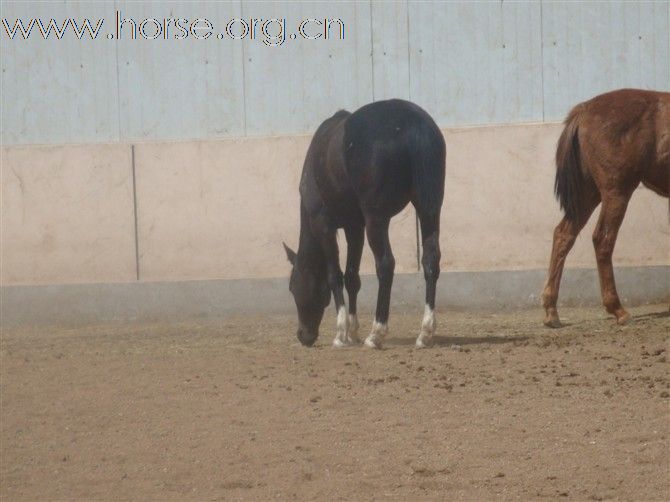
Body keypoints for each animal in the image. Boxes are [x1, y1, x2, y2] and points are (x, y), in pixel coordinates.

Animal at [284, 98, 446, 350]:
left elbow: (335, 275)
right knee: (430, 260)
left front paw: (341, 333)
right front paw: (353, 332)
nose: (303, 335)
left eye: (292, 286)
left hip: (376, 220)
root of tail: (413, 124)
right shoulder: (354, 227)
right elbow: (352, 276)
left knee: (386, 265)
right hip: (429, 210)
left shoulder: (324, 225)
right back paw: (425, 332)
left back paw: (376, 333)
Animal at [544, 88, 668, 328]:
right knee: (603, 239)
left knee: (564, 235)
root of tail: (584, 109)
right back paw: (618, 309)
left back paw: (551, 311)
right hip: (616, 193)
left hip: (588, 195)